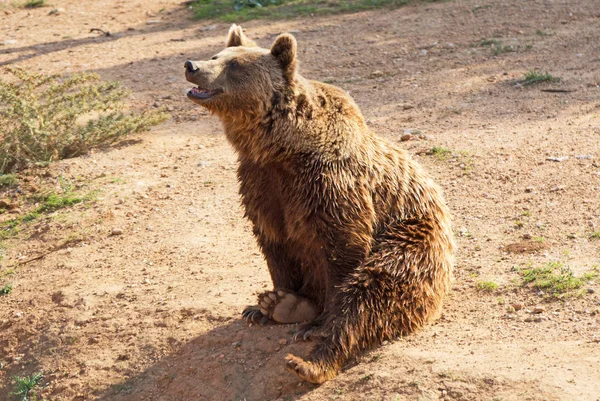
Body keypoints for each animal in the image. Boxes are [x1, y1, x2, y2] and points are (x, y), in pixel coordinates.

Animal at [184, 23, 454, 382]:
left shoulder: (329, 183)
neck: (279, 147)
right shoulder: (261, 182)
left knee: (372, 288)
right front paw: (266, 303)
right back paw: (286, 308)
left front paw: (312, 321)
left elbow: (342, 250)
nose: (192, 65)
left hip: (413, 242)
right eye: (217, 55)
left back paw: (308, 360)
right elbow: (274, 241)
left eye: (235, 65)